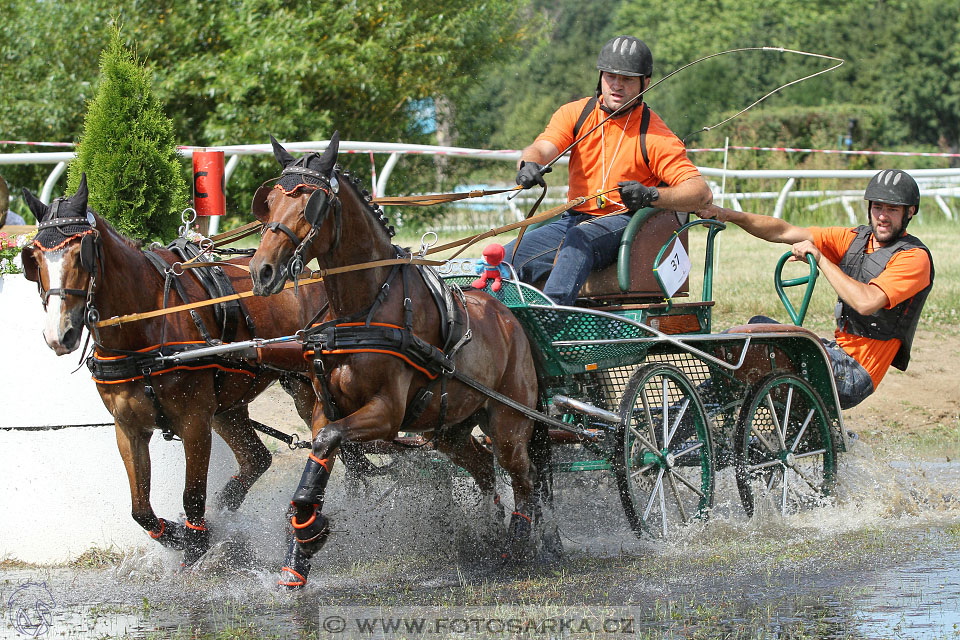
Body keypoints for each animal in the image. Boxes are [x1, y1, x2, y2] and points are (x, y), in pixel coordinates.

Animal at [18, 176, 324, 564]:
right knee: (256, 458)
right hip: (228, 407)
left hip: (306, 388)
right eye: (34, 256)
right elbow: (140, 510)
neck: (145, 331)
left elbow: (192, 497)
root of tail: (312, 273)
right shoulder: (129, 429)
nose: (60, 334)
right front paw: (180, 534)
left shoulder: (194, 423)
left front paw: (196, 544)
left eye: (81, 252)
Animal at [248, 136, 548, 592]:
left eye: (310, 204)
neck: (364, 310)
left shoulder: (387, 414)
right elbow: (321, 448)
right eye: (270, 201)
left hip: (510, 423)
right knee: (483, 468)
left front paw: (309, 532)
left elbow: (327, 441)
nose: (261, 271)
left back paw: (515, 547)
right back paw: (486, 530)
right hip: (450, 431)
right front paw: (300, 550)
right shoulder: (326, 409)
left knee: (523, 477)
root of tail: (508, 315)